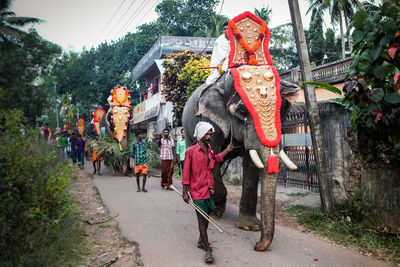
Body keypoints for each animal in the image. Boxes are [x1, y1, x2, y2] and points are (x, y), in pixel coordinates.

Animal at [183, 12, 298, 251]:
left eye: (282, 109)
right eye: (242, 110)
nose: (257, 246)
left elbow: (251, 163)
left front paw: (249, 227)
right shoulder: (210, 120)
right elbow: (211, 157)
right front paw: (216, 209)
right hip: (187, 129)